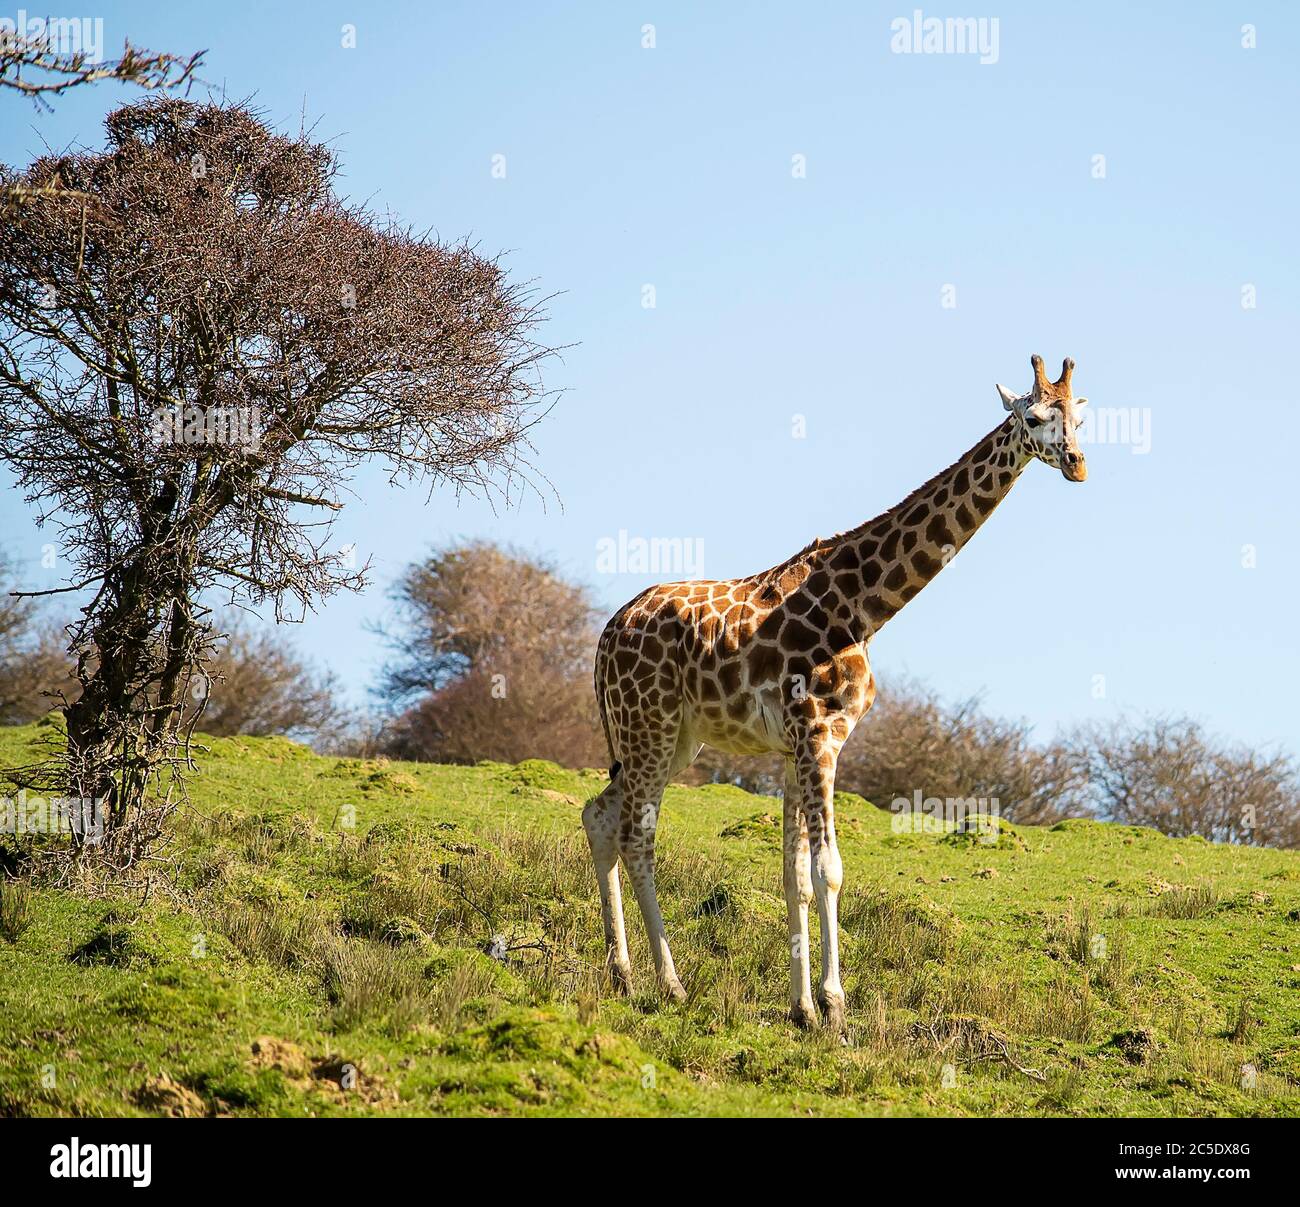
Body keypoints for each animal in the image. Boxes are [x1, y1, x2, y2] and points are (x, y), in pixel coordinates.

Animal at [584, 355, 1088, 1030]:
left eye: (1081, 418)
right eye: (1033, 417)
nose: (1077, 463)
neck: (866, 607)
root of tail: (605, 638)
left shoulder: (797, 745)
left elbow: (793, 874)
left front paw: (802, 1009)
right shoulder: (818, 733)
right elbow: (829, 871)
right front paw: (835, 1009)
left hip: (671, 738)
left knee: (599, 815)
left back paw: (623, 974)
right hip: (650, 726)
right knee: (636, 834)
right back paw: (669, 984)